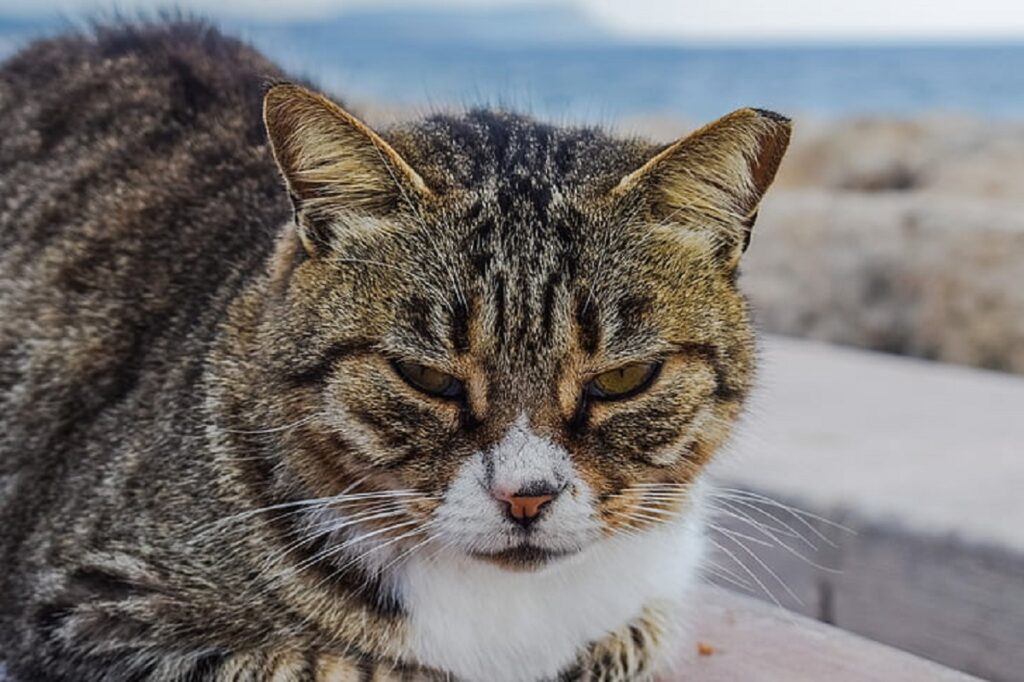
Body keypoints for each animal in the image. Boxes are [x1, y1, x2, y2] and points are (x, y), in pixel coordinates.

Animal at [0, 21, 790, 679]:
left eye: (624, 378)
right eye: (424, 378)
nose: (527, 496)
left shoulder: (644, 605)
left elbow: (627, 637)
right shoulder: (87, 607)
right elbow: (339, 667)